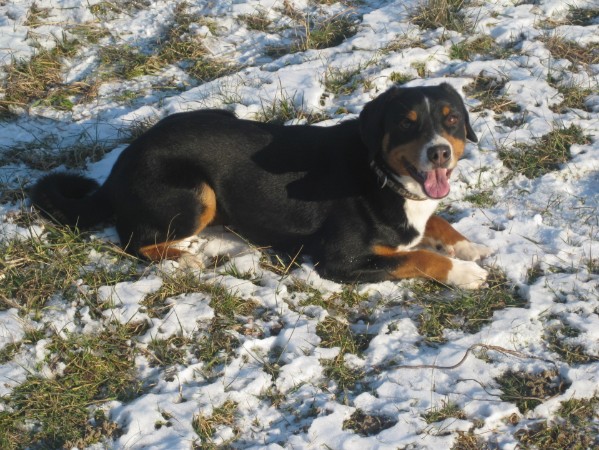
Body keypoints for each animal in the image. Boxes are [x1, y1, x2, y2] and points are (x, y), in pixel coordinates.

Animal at [30, 83, 492, 288]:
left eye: (451, 119)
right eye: (406, 124)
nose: (439, 153)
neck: (379, 173)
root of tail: (123, 161)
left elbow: (435, 224)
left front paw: (468, 246)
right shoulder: (339, 262)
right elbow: (417, 258)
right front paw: (463, 272)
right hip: (196, 192)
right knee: (133, 241)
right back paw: (183, 257)